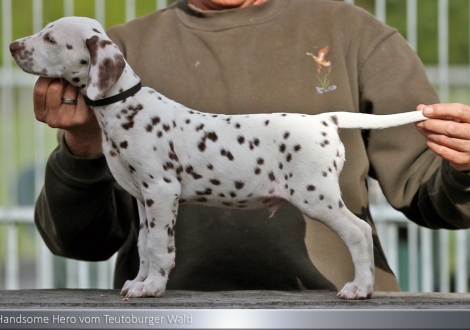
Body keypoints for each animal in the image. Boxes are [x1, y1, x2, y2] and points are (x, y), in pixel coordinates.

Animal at [9, 16, 428, 300]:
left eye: (50, 38)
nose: (12, 46)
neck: (125, 105)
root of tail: (324, 119)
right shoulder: (143, 198)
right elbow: (144, 244)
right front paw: (140, 281)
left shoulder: (162, 191)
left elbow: (160, 246)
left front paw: (153, 287)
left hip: (316, 195)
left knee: (359, 231)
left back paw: (360, 287)